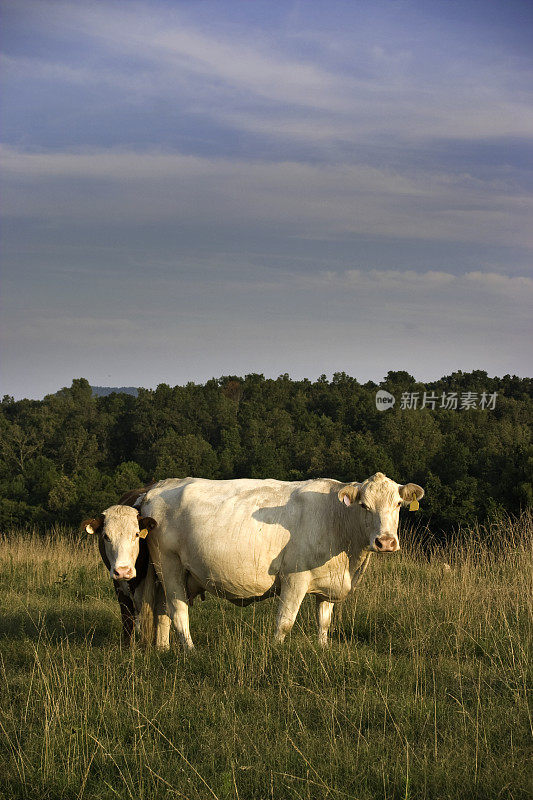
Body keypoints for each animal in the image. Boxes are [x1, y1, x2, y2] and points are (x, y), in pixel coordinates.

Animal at [138, 468, 424, 648]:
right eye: (364, 505)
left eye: (398, 504)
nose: (385, 542)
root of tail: (157, 487)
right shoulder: (294, 578)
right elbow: (285, 622)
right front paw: (276, 651)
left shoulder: (327, 583)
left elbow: (324, 622)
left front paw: (323, 649)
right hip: (169, 564)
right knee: (178, 612)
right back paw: (190, 651)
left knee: (162, 611)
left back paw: (163, 649)